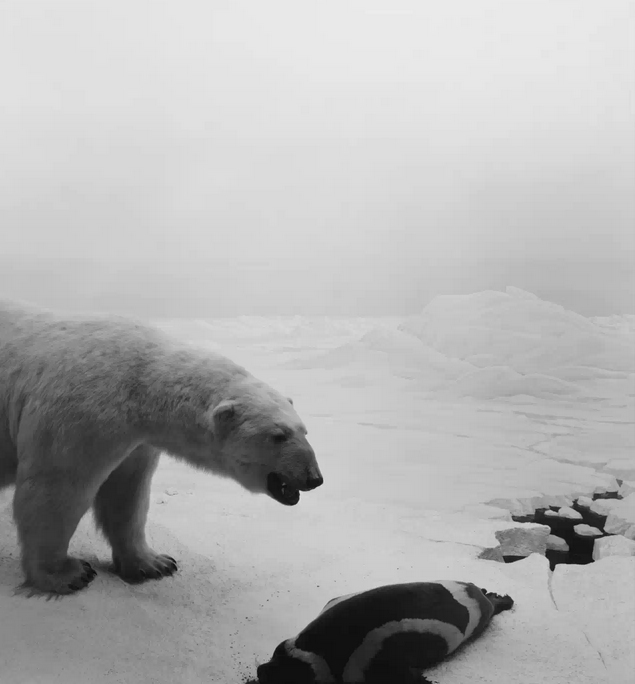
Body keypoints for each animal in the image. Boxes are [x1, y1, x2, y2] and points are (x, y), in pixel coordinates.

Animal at [0, 300, 322, 592]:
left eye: (304, 430)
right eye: (278, 435)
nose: (314, 478)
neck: (138, 380)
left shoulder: (134, 439)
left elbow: (127, 493)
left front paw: (154, 563)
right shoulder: (80, 411)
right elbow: (56, 487)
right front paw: (68, 573)